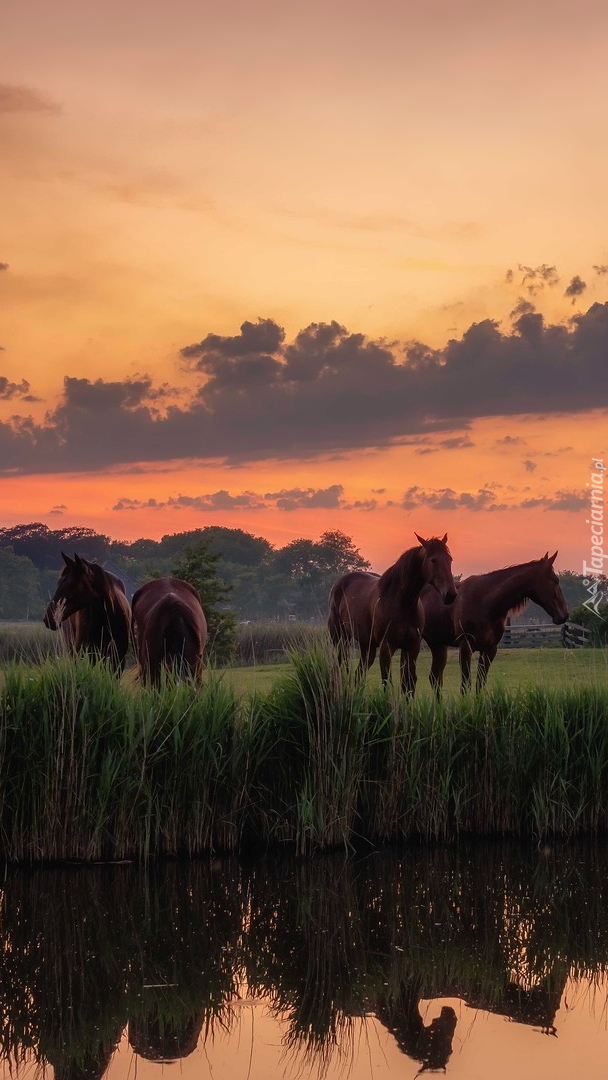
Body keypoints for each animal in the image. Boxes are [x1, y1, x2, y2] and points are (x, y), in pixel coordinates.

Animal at [328, 533, 457, 699]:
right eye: (433, 560)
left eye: (449, 559)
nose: (451, 594)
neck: (402, 604)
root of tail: (339, 584)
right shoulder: (386, 646)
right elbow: (386, 680)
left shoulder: (411, 646)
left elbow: (408, 682)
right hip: (340, 639)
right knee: (341, 667)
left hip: (367, 646)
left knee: (358, 674)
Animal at [423, 552, 570, 695]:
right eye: (555, 580)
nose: (564, 615)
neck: (485, 603)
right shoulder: (465, 645)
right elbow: (465, 685)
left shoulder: (490, 648)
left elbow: (480, 684)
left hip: (438, 645)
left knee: (435, 678)